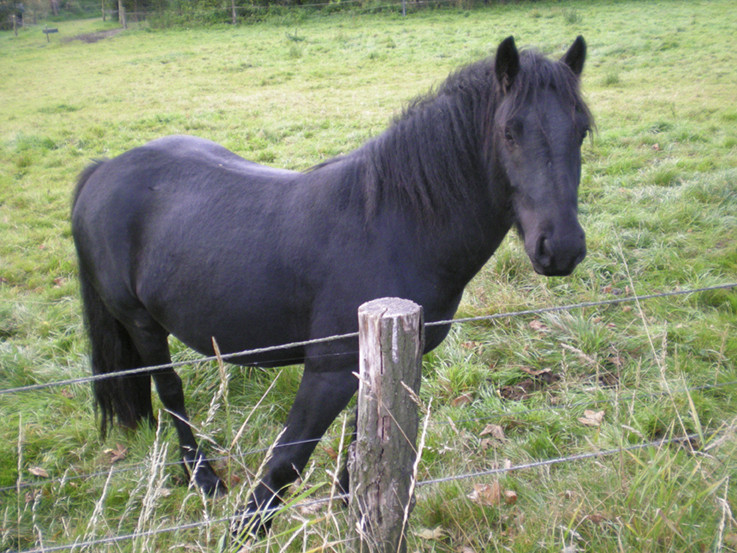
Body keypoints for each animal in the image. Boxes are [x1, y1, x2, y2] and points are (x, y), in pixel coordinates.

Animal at [72, 35, 592, 536]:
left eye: (582, 131)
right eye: (509, 132)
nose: (561, 247)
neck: (395, 222)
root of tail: (104, 168)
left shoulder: (376, 361)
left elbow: (362, 447)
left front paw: (358, 512)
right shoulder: (329, 370)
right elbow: (286, 461)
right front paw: (243, 532)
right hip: (141, 323)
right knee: (171, 391)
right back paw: (201, 476)